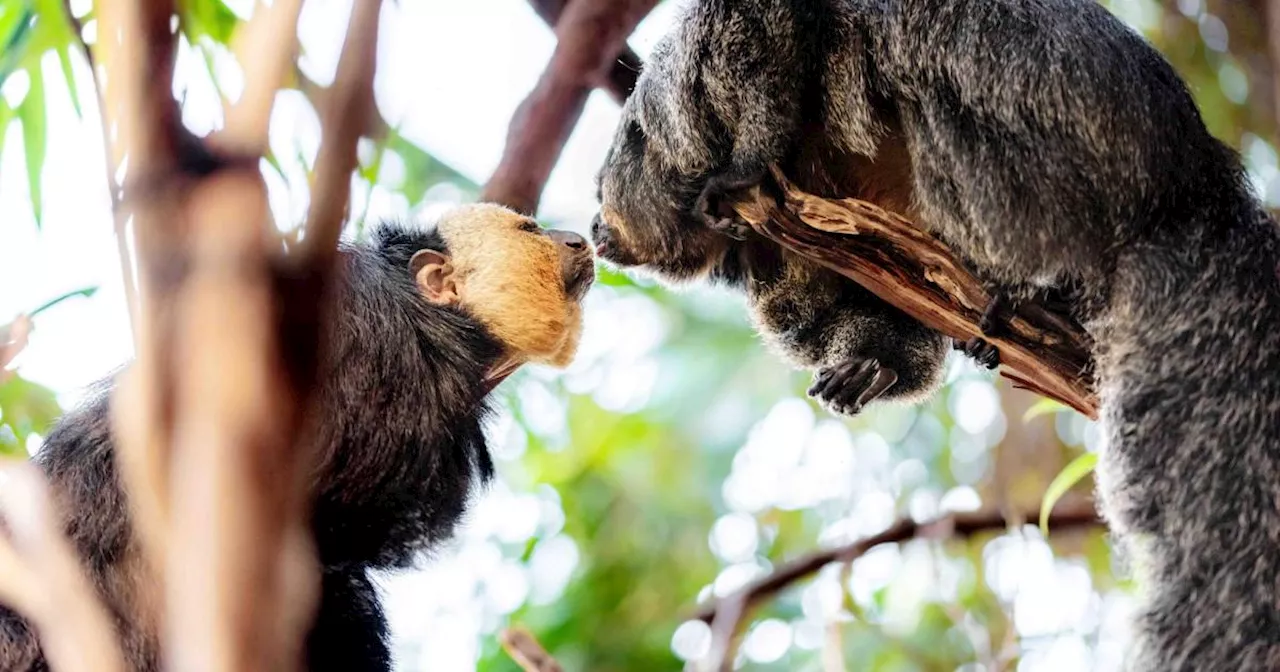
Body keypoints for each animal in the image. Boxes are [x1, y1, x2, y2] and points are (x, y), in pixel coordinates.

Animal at [591, 0, 1280, 665]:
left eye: (602, 195)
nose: (597, 229)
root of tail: (1195, 184)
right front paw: (876, 362)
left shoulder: (691, 77)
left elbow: (771, 36)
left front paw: (746, 161)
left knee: (921, 83)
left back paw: (1029, 286)